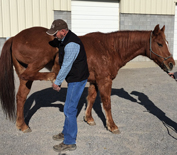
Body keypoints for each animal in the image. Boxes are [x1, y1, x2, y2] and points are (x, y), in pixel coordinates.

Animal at [0, 24, 175, 133]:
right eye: (160, 44)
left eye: (166, 42)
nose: (172, 64)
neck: (110, 48)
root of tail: (15, 37)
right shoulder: (105, 81)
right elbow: (107, 103)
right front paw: (112, 126)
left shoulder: (95, 81)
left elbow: (91, 98)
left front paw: (89, 119)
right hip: (38, 61)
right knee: (28, 76)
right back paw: (53, 76)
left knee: (21, 97)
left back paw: (22, 125)